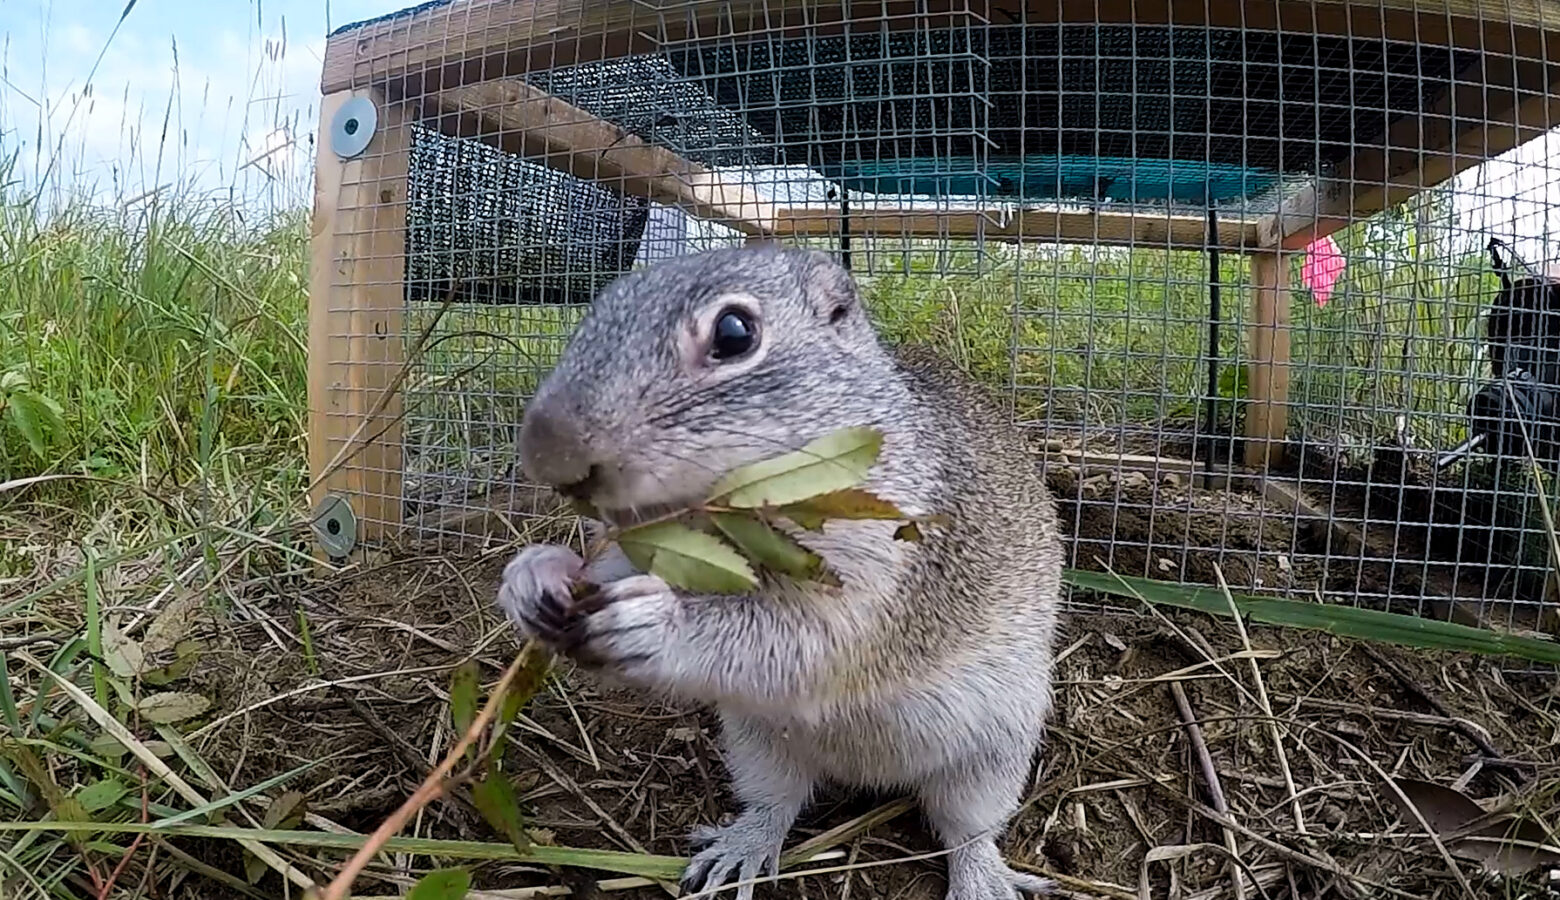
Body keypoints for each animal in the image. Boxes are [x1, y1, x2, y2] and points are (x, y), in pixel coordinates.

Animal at [492, 241, 1067, 892]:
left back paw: (981, 878)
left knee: (969, 831)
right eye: (597, 309)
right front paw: (534, 574)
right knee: (776, 803)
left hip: (992, 756)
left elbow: (798, 640)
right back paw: (742, 847)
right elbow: (607, 572)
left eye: (734, 332)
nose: (547, 455)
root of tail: (870, 776)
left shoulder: (883, 574)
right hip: (757, 746)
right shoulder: (643, 543)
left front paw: (655, 623)